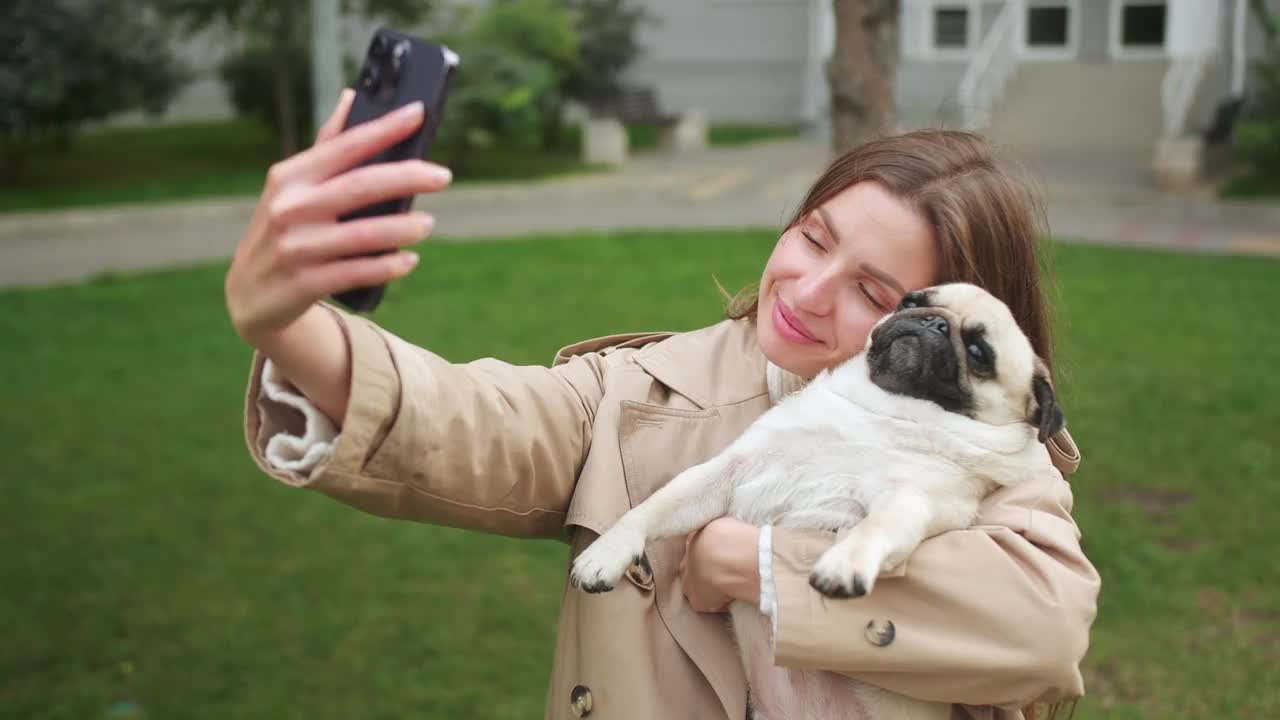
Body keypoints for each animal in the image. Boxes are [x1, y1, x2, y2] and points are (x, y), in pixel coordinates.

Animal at [576, 280, 1064, 717]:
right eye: (909, 301)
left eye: (979, 353)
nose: (931, 323)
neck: (889, 411)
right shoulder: (729, 470)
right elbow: (650, 509)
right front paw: (607, 553)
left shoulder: (911, 499)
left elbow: (874, 527)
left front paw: (845, 562)